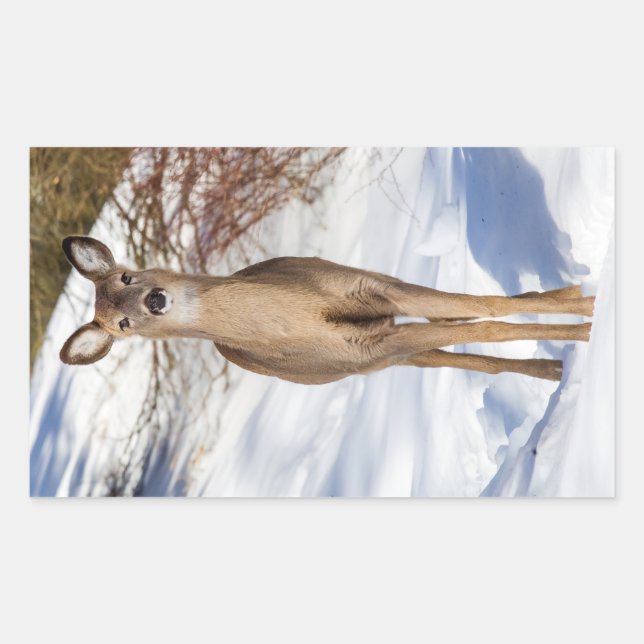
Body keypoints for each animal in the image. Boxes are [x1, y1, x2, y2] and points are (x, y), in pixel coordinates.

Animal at [59, 236, 594, 383]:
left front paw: (587, 305)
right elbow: (484, 325)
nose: (155, 300)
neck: (301, 314)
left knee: (461, 317)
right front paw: (588, 330)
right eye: (121, 325)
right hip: (379, 360)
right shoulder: (366, 348)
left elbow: (481, 305)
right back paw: (553, 368)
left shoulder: (372, 287)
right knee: (463, 349)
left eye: (127, 276)